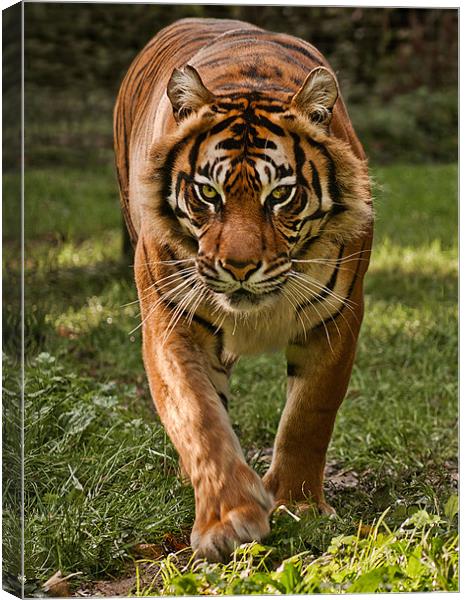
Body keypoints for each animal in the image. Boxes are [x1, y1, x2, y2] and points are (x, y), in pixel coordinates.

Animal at [113, 17, 374, 564]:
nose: (239, 267)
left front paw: (300, 504)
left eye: (281, 195)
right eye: (207, 192)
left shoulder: (338, 316)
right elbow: (197, 417)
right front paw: (228, 519)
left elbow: (309, 414)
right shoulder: (170, 321)